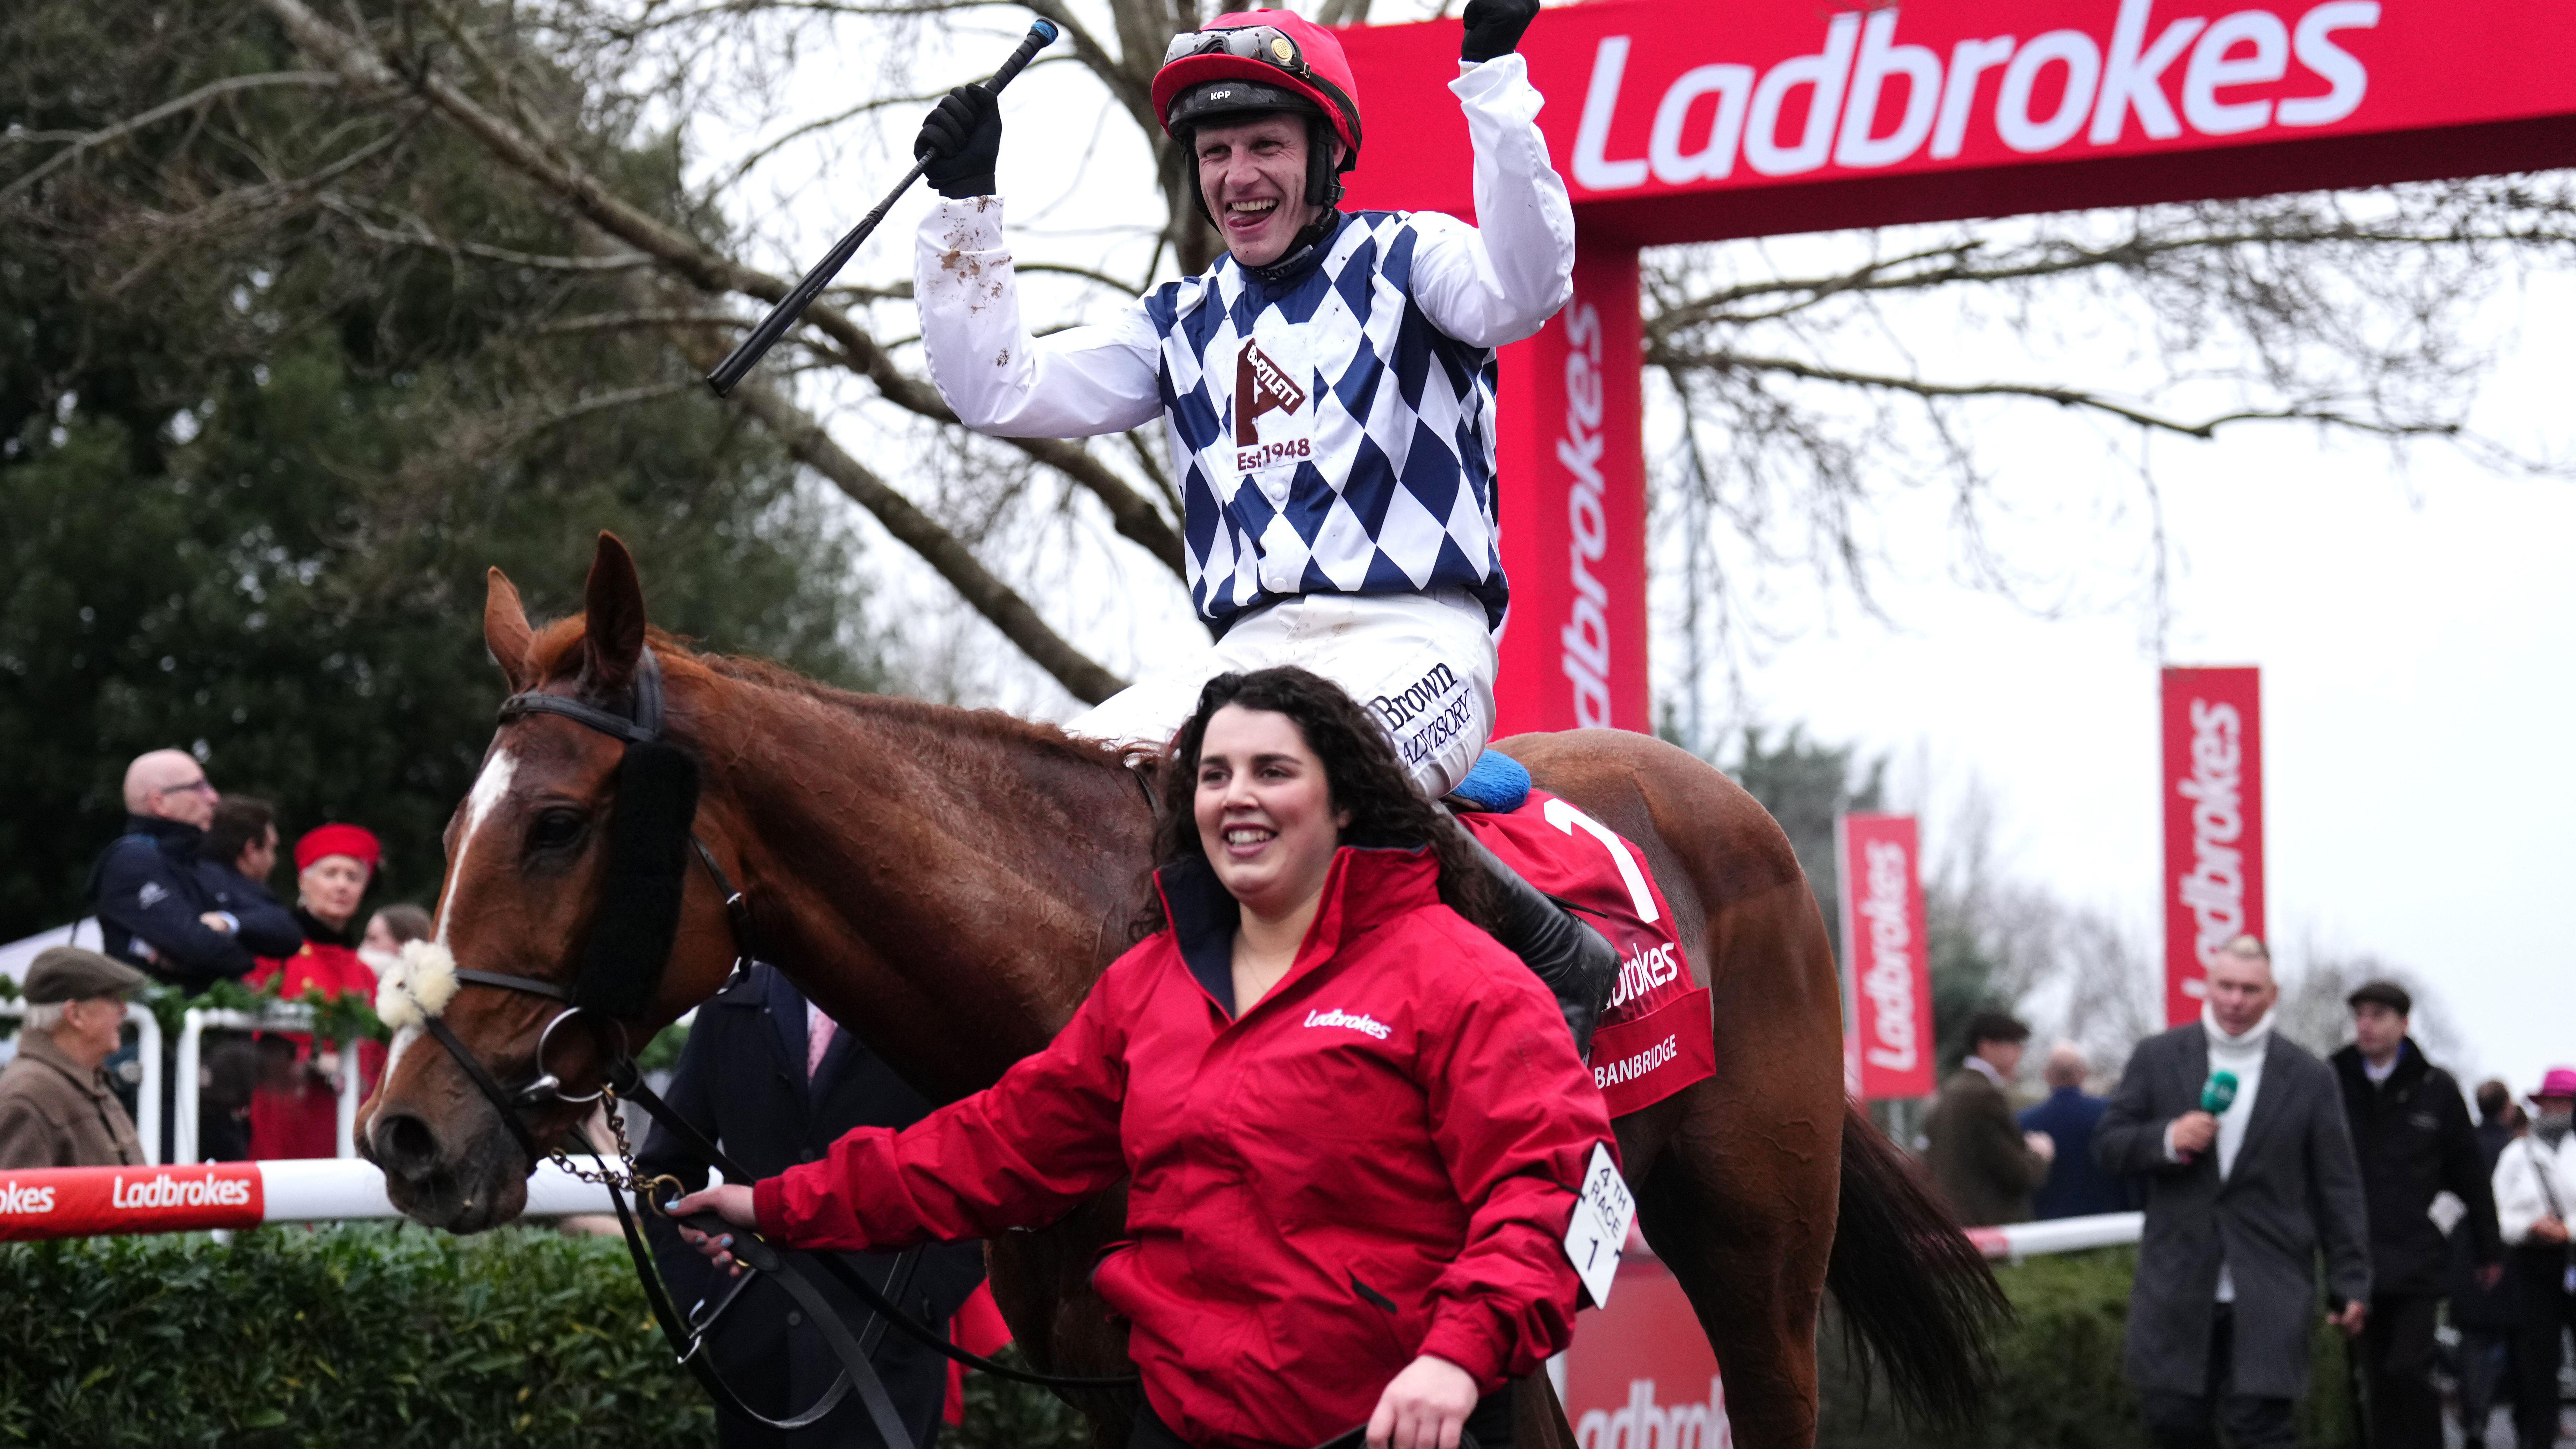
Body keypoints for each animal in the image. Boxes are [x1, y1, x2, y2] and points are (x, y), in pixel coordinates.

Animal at [363, 535, 1999, 1449]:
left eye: (557, 825)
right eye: (447, 834)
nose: (407, 1132)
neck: (1074, 955)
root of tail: (1735, 815)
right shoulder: (1111, 1384)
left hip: (1753, 1253)